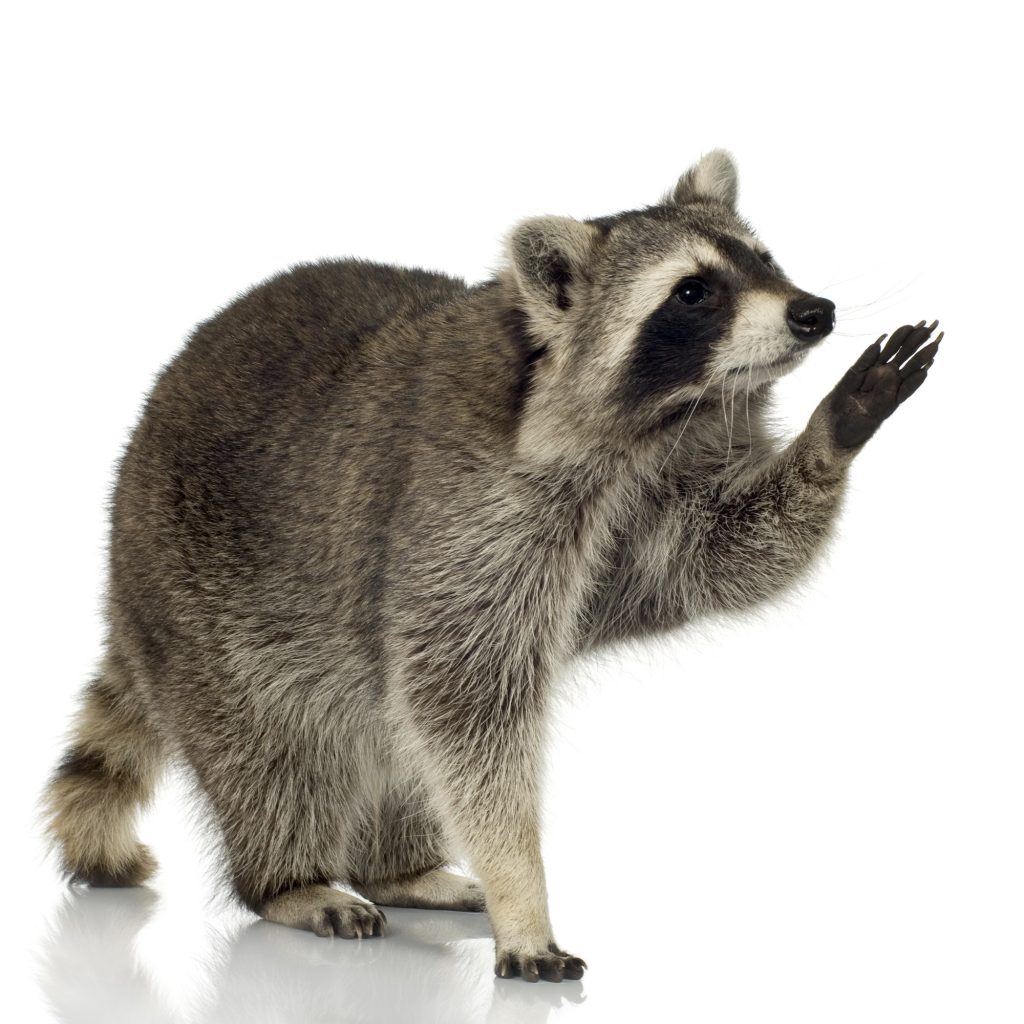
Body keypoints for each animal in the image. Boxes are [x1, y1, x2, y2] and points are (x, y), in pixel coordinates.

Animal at [43, 151, 941, 982]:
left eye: (763, 258)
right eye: (693, 293)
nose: (813, 313)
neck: (652, 426)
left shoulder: (649, 500)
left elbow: (722, 557)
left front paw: (833, 432)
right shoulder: (463, 510)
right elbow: (466, 703)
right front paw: (524, 892)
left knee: (389, 736)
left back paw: (397, 867)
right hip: (198, 601)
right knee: (274, 748)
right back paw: (289, 879)